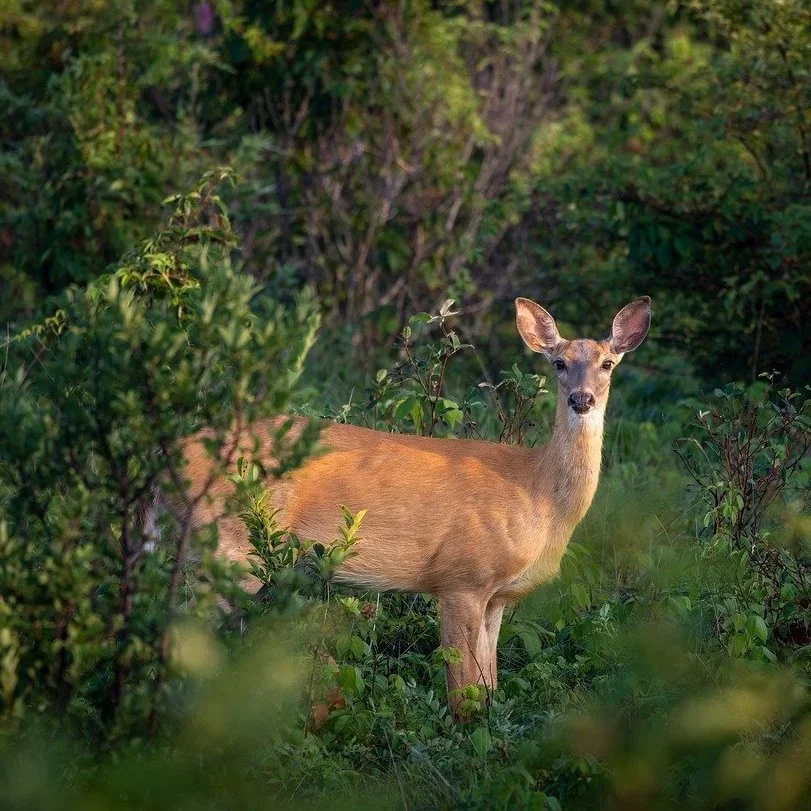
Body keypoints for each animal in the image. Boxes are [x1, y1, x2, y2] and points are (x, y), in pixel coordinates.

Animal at [167, 296, 651, 717]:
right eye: (559, 363)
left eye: (607, 363)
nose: (582, 399)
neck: (538, 493)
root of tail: (178, 451)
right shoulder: (461, 578)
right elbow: (463, 692)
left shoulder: (496, 595)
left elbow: (490, 683)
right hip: (230, 549)